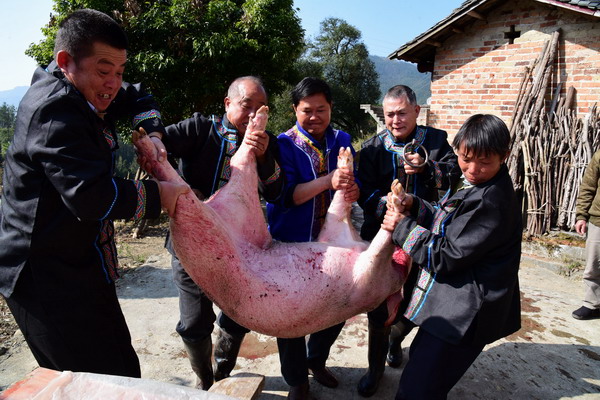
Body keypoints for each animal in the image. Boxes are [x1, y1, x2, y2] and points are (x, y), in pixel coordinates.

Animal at [134, 106, 410, 338]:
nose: (405, 256)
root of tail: (211, 203)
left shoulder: (366, 278)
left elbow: (367, 232)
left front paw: (395, 198)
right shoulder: (351, 253)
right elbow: (346, 212)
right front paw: (356, 172)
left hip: (211, 225)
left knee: (222, 170)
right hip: (211, 228)